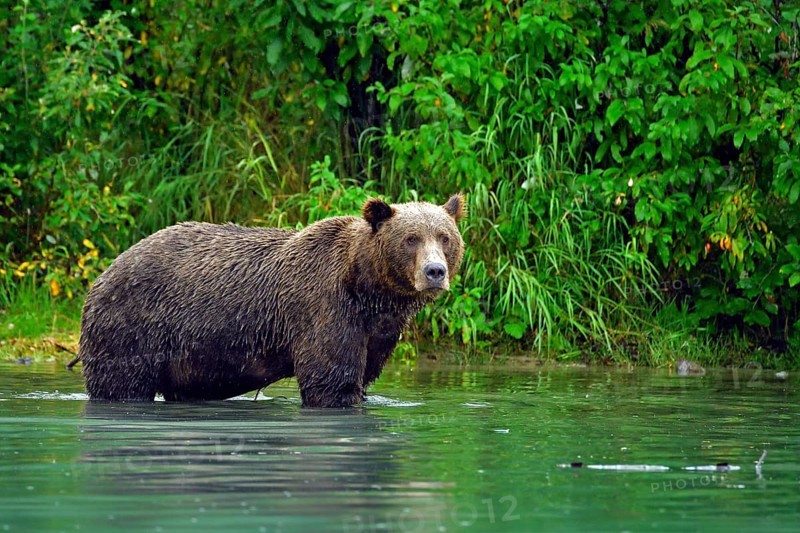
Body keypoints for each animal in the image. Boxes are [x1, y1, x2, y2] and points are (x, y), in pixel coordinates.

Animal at [79, 194, 466, 407]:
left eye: (444, 237)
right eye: (411, 238)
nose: (434, 272)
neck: (367, 288)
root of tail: (104, 273)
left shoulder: (378, 329)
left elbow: (364, 374)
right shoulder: (325, 307)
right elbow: (331, 380)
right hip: (133, 326)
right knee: (121, 384)